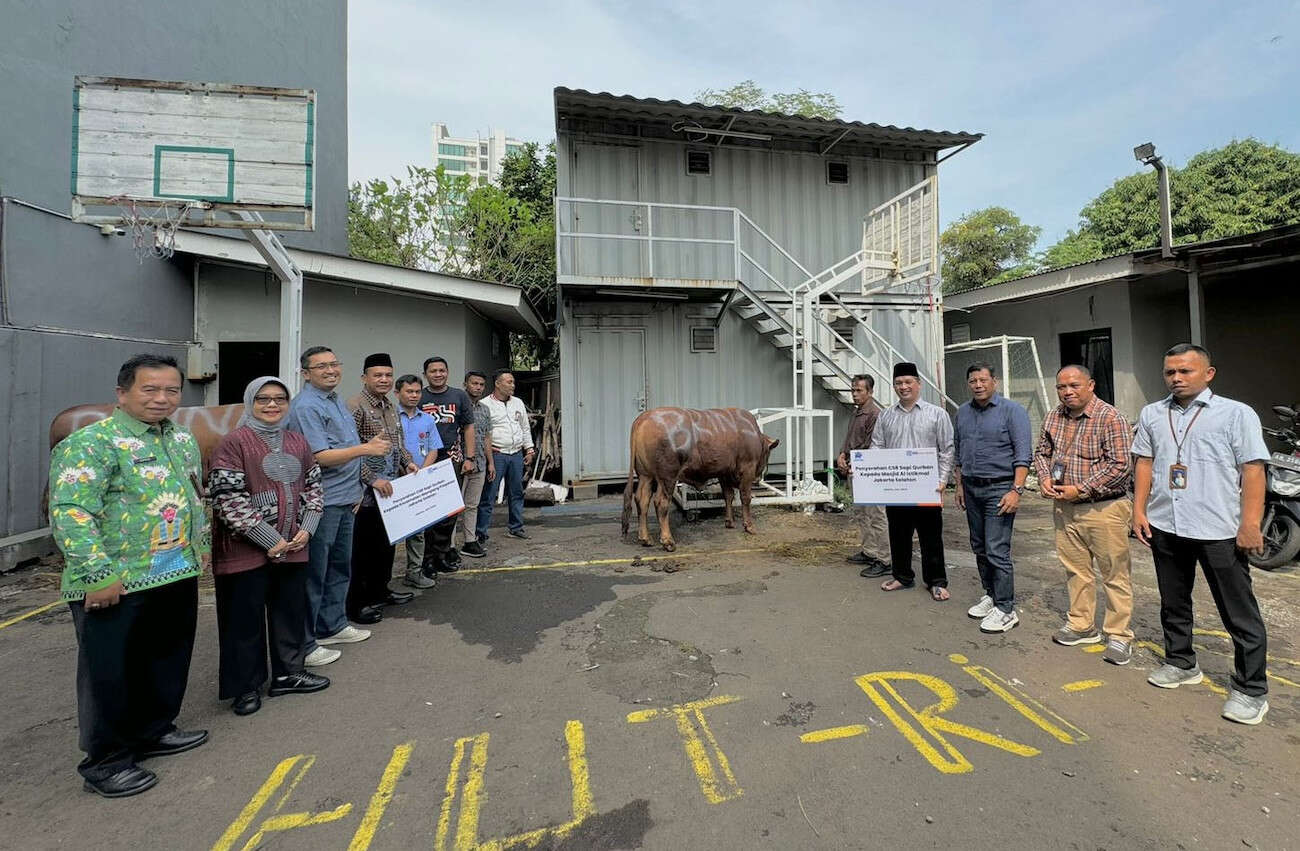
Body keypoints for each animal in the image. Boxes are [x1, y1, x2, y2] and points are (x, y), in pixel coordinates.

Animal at [621, 407, 774, 553]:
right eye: (768, 453)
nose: (758, 477)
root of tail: (644, 417)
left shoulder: (723, 472)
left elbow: (728, 496)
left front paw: (729, 522)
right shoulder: (748, 468)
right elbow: (746, 498)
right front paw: (749, 526)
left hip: (645, 475)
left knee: (642, 500)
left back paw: (645, 538)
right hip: (667, 476)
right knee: (660, 502)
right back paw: (668, 541)